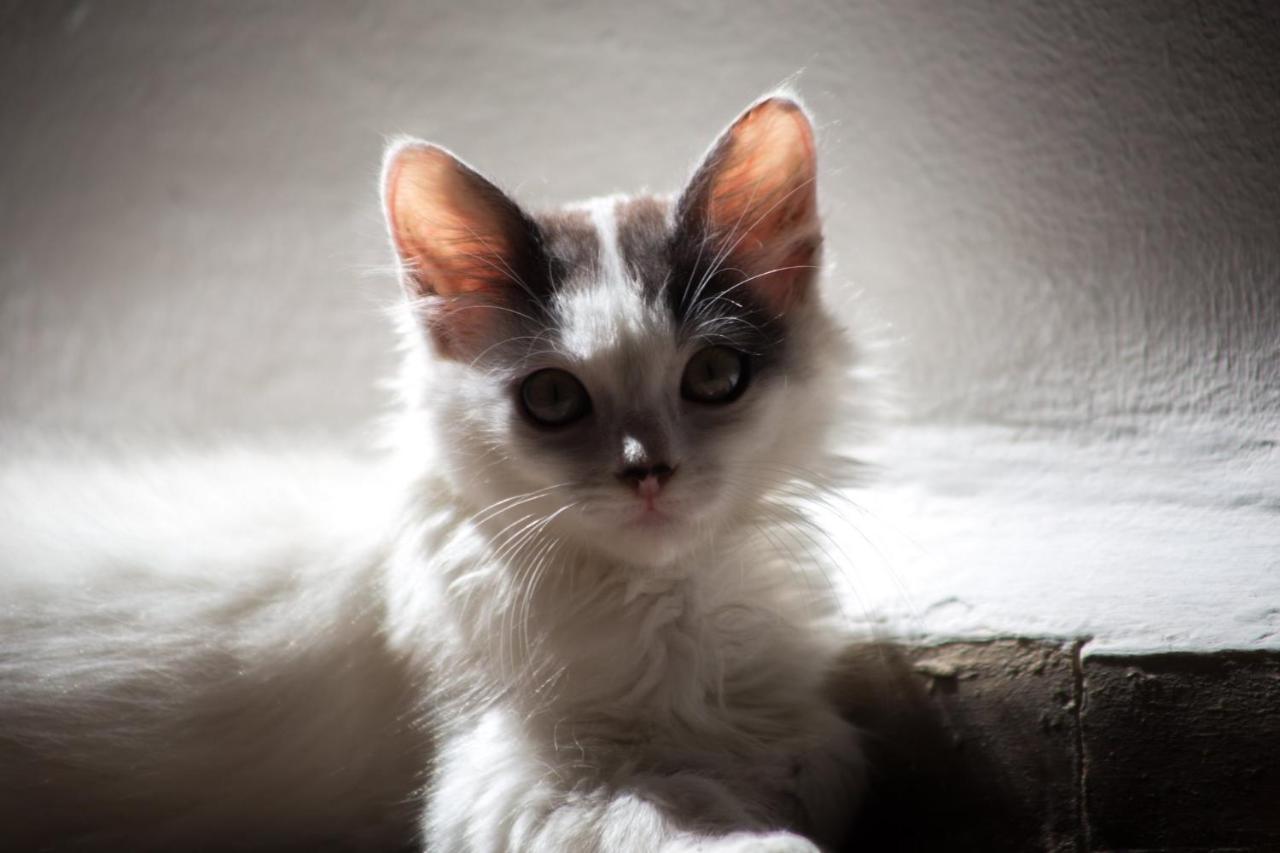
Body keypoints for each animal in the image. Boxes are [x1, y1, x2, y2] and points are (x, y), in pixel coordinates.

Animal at [0, 94, 870, 850]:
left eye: (714, 375)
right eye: (553, 397)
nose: (646, 470)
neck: (665, 610)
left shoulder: (790, 720)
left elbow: (824, 757)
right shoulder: (510, 783)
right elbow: (680, 819)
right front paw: (761, 829)